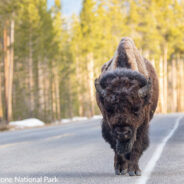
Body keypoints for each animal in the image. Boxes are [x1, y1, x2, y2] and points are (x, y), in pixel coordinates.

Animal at [95, 37, 158, 175]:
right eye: (109, 109)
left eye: (137, 109)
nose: (122, 133)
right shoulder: (109, 125)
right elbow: (116, 147)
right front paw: (120, 168)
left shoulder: (141, 126)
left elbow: (136, 146)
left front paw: (134, 171)